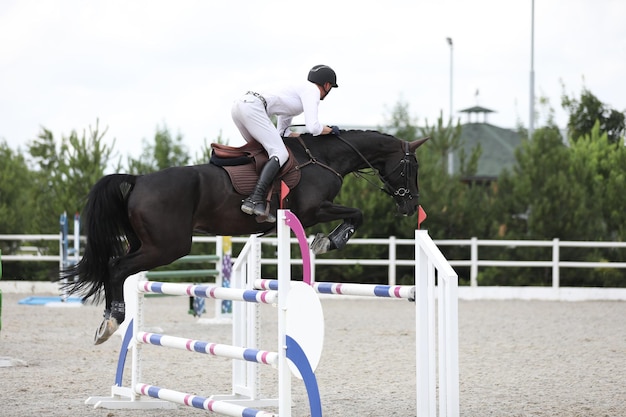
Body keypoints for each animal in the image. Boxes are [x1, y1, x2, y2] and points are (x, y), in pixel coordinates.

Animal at [63, 129, 426, 342]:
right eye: (411, 167)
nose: (411, 206)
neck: (323, 158)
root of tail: (138, 179)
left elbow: (354, 214)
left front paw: (326, 241)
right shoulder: (313, 210)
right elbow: (356, 213)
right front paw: (329, 241)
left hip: (148, 243)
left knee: (117, 267)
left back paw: (109, 321)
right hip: (167, 247)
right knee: (116, 268)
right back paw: (111, 322)